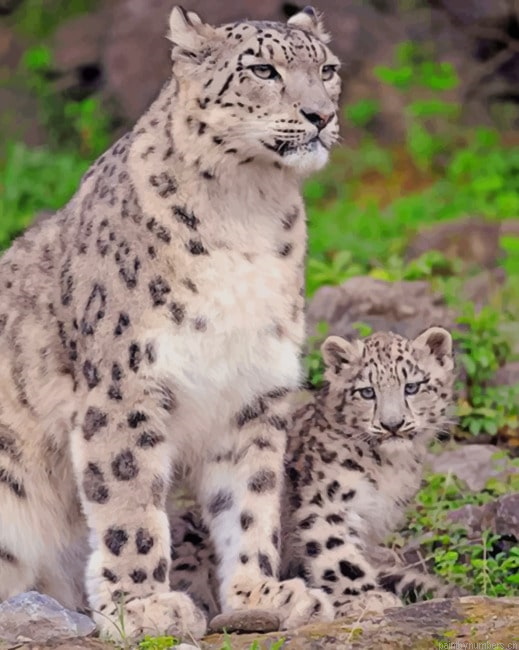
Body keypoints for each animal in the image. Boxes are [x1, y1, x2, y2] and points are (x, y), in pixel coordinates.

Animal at [0, 5, 341, 642]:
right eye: (262, 69)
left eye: (328, 69)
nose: (321, 114)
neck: (248, 211)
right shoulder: (124, 387)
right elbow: (129, 502)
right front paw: (144, 608)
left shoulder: (253, 392)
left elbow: (251, 501)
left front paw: (263, 595)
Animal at [165, 327, 458, 621]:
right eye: (366, 392)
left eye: (412, 387)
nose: (392, 424)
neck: (390, 467)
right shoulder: (326, 503)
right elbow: (338, 554)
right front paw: (366, 597)